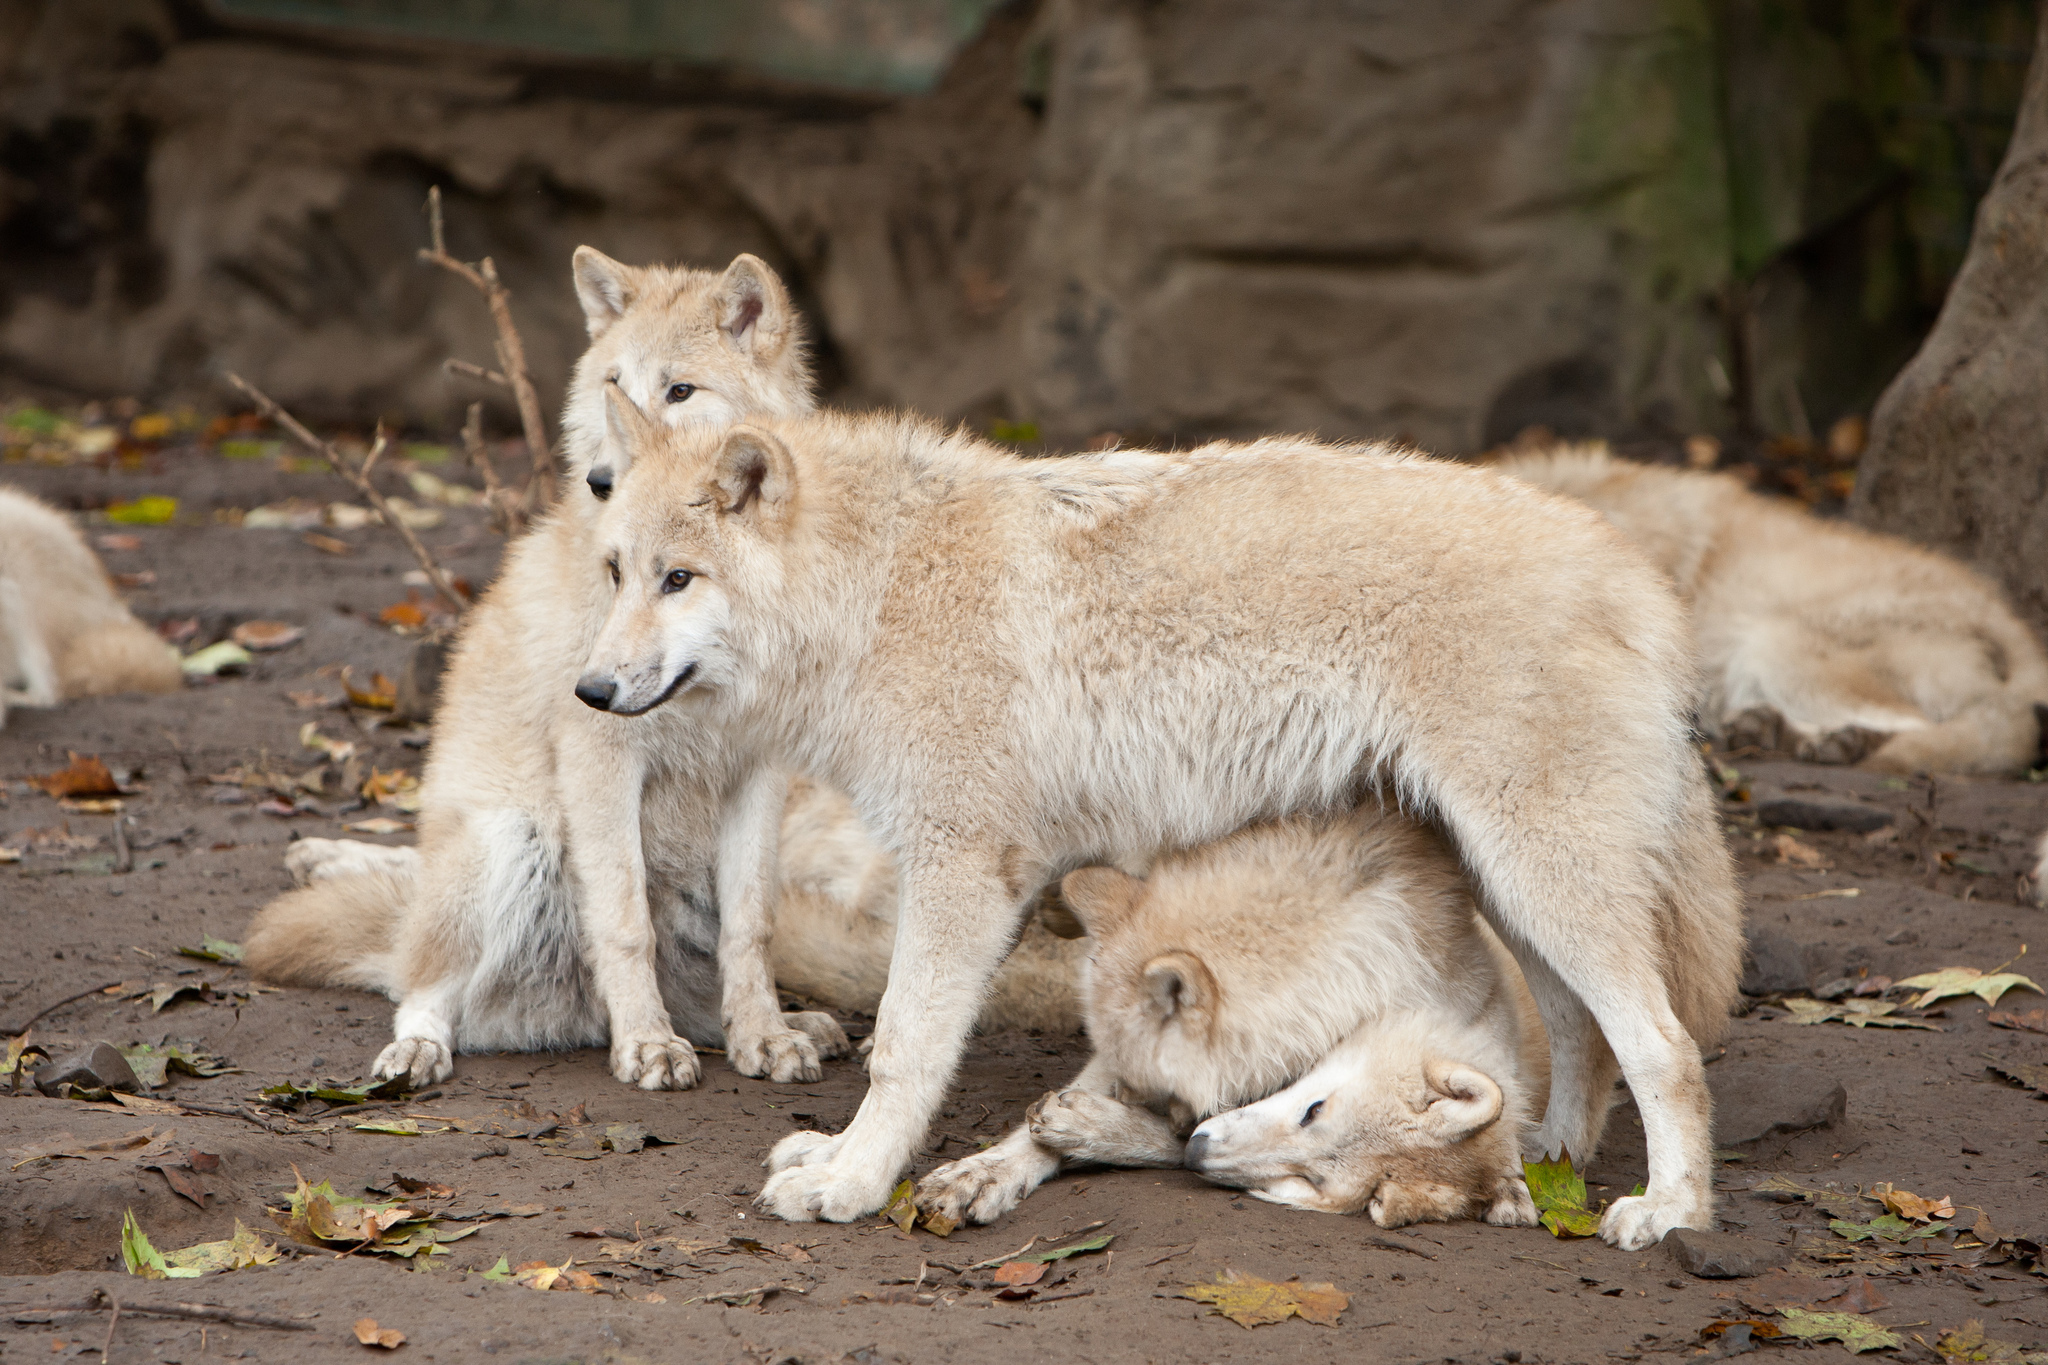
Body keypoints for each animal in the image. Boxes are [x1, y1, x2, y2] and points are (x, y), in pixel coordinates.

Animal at [244, 247, 851, 1091]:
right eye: (613, 386)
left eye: (680, 390)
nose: (603, 478)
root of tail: (576, 1018)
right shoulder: (601, 752)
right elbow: (625, 924)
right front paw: (648, 1046)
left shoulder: (757, 772)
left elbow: (752, 926)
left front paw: (766, 1036)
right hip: (510, 839)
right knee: (424, 988)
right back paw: (422, 1048)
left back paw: (786, 1024)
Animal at [917, 809, 1552, 1229]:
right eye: (1313, 1108)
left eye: (1305, 1180)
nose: (1129, 1099)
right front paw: (984, 1171)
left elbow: (1174, 1141)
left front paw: (1095, 1127)